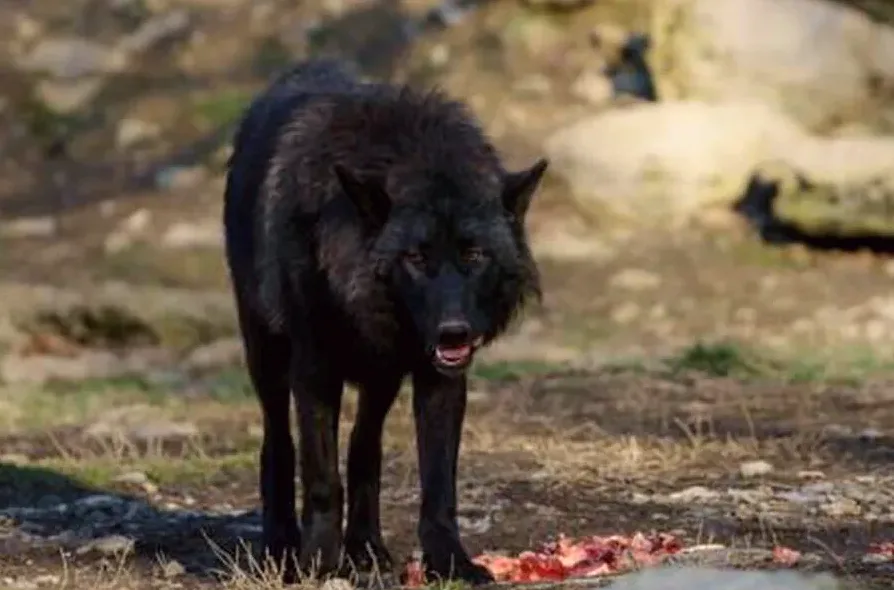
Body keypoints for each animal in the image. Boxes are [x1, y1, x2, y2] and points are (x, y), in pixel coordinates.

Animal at [223, 58, 548, 584]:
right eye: (415, 257)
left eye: (474, 254)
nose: (454, 332)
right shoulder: (315, 372)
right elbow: (321, 478)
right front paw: (317, 563)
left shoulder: (440, 381)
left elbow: (438, 487)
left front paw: (451, 563)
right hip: (267, 358)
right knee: (278, 443)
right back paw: (282, 544)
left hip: (381, 382)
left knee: (364, 447)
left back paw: (366, 548)